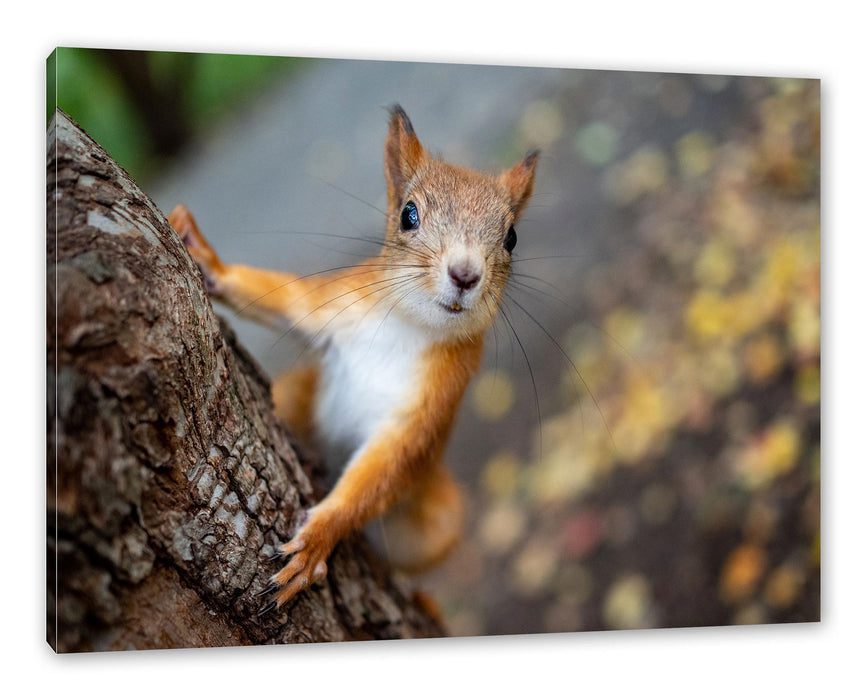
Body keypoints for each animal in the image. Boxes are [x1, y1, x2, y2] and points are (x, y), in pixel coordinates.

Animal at [168, 105, 538, 610]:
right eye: (408, 214)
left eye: (513, 238)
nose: (465, 274)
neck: (408, 327)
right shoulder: (337, 302)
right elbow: (286, 300)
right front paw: (206, 258)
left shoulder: (433, 404)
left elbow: (384, 469)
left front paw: (319, 538)